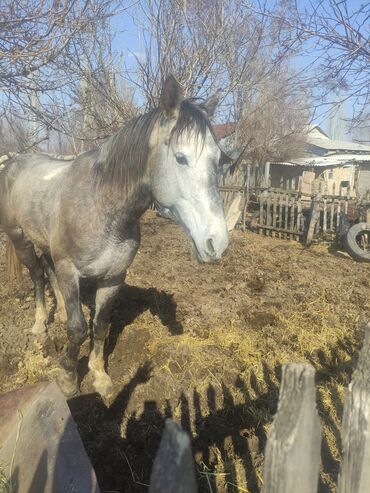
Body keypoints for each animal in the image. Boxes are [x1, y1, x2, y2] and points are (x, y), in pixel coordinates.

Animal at [0, 76, 228, 396]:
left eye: (218, 159)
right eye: (181, 158)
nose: (217, 242)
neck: (100, 206)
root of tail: (13, 162)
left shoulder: (113, 277)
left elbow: (100, 325)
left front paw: (99, 375)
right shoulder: (70, 271)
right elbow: (78, 329)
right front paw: (68, 376)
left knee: (47, 270)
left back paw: (58, 313)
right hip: (20, 240)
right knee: (37, 277)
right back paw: (39, 326)